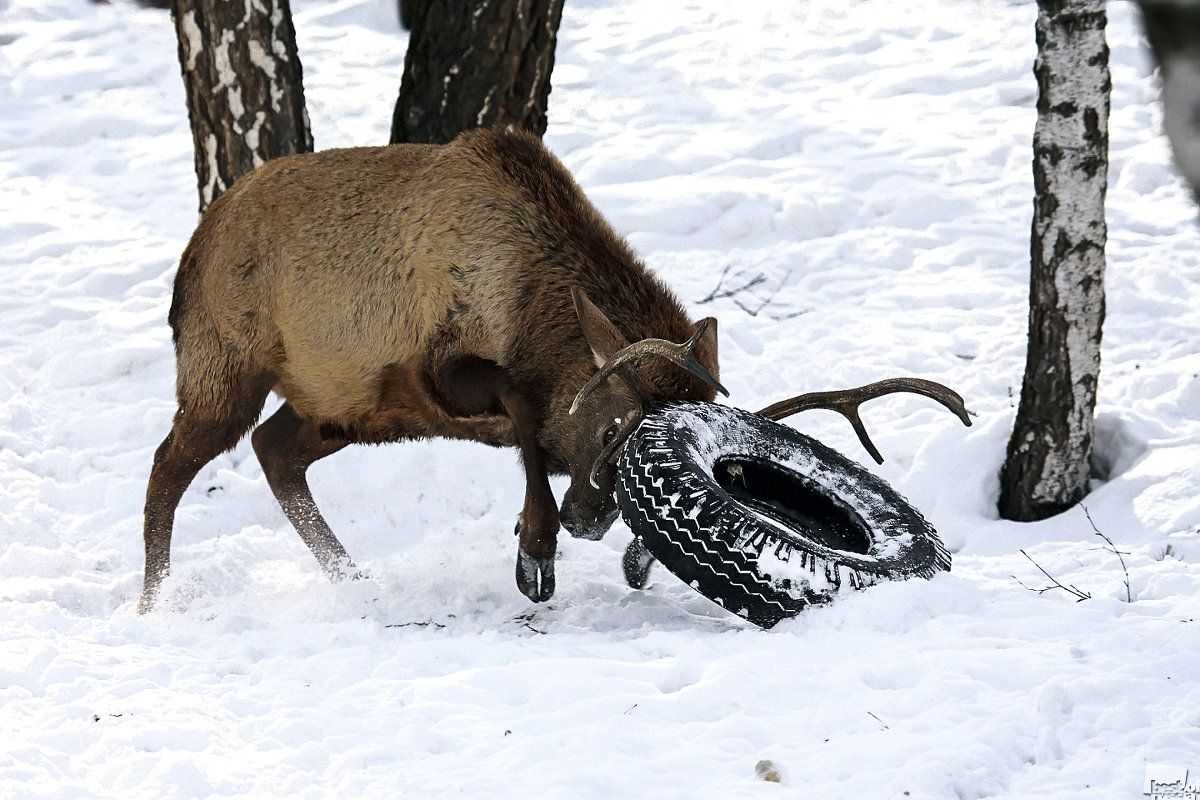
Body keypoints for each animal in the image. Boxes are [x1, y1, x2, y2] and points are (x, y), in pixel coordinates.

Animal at [136, 126, 724, 614]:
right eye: (610, 428)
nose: (588, 520)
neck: (526, 313)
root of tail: (192, 253)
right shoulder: (435, 369)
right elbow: (521, 409)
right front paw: (535, 551)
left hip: (343, 408)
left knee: (272, 449)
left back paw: (353, 580)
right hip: (225, 370)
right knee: (168, 467)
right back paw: (154, 602)